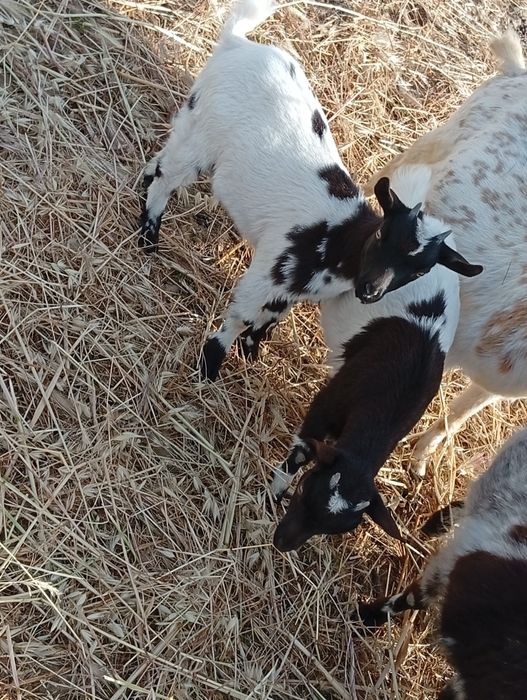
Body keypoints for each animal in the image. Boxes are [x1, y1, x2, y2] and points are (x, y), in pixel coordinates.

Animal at [139, 0, 477, 381]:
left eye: (421, 270)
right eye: (382, 234)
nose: (370, 291)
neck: (338, 238)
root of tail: (238, 42)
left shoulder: (290, 290)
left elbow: (270, 317)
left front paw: (252, 350)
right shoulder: (273, 272)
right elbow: (242, 314)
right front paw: (210, 363)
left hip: (193, 121)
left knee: (162, 160)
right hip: (204, 133)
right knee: (168, 177)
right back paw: (148, 236)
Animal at [272, 165, 482, 552]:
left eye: (337, 529)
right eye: (307, 489)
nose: (282, 542)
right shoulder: (325, 406)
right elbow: (301, 450)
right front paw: (275, 490)